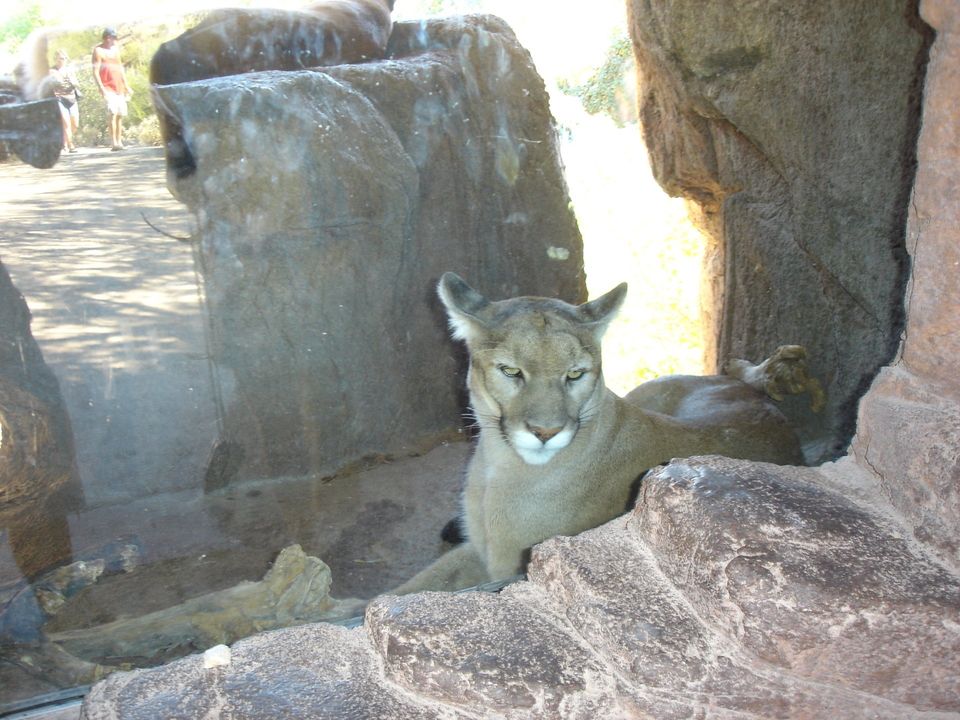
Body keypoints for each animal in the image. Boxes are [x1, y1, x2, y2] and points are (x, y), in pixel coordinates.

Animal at [386, 272, 820, 592]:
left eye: (575, 374)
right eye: (511, 371)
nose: (546, 431)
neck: (496, 464)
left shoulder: (510, 563)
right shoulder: (479, 550)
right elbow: (408, 589)